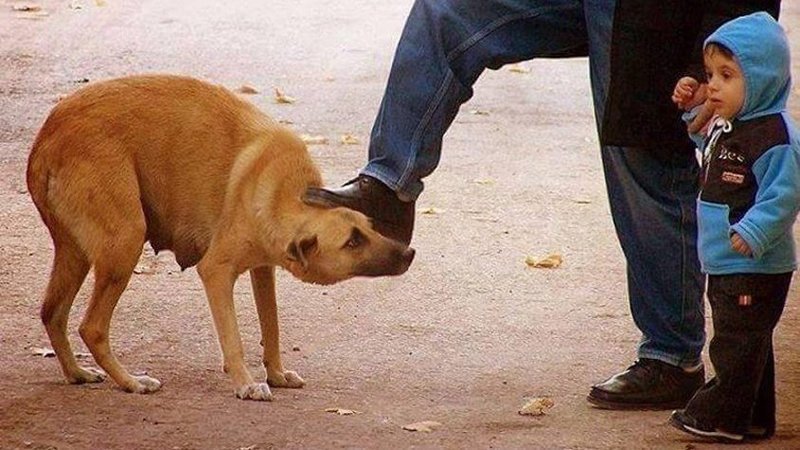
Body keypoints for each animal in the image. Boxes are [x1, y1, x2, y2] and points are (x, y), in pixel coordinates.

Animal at [26, 74, 415, 401]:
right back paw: (131, 382)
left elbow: (271, 325)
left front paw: (276, 374)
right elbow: (233, 336)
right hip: (124, 244)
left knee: (52, 312)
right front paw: (246, 383)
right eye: (352, 241)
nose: (409, 253)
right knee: (91, 327)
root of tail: (46, 138)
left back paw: (76, 373)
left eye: (370, 226)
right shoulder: (215, 270)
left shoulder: (263, 269)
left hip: (77, 253)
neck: (284, 189)